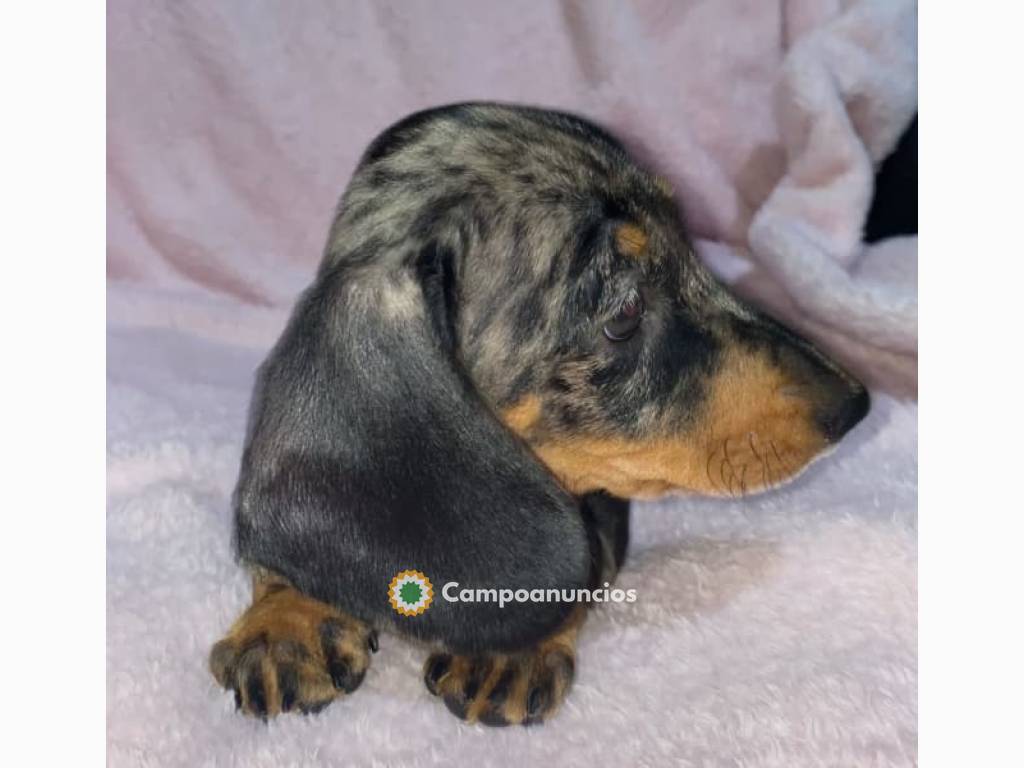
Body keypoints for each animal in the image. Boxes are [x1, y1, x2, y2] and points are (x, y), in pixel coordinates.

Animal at [207, 102, 864, 729]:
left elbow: (581, 568)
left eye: (688, 245)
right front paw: (285, 622)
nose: (856, 403)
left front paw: (512, 650)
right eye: (624, 312)